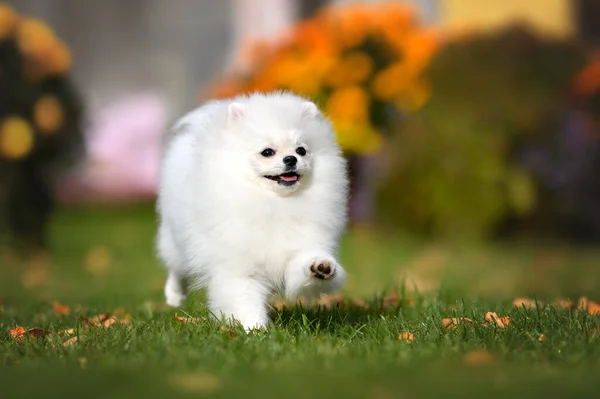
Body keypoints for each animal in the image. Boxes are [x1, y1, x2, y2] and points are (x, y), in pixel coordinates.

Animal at [157, 91, 350, 332]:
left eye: (301, 150)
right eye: (267, 152)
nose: (291, 159)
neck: (275, 204)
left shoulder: (301, 242)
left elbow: (304, 263)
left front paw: (321, 266)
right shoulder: (239, 264)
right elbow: (244, 300)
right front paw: (255, 330)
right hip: (175, 238)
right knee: (176, 267)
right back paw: (174, 295)